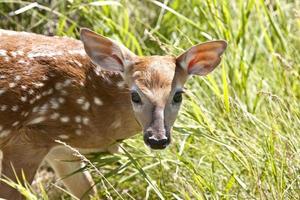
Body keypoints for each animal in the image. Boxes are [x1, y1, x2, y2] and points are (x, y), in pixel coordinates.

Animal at [0, 28, 226, 200]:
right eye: (135, 95)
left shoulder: (61, 148)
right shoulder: (27, 139)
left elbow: (89, 192)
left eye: (178, 95)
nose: (157, 139)